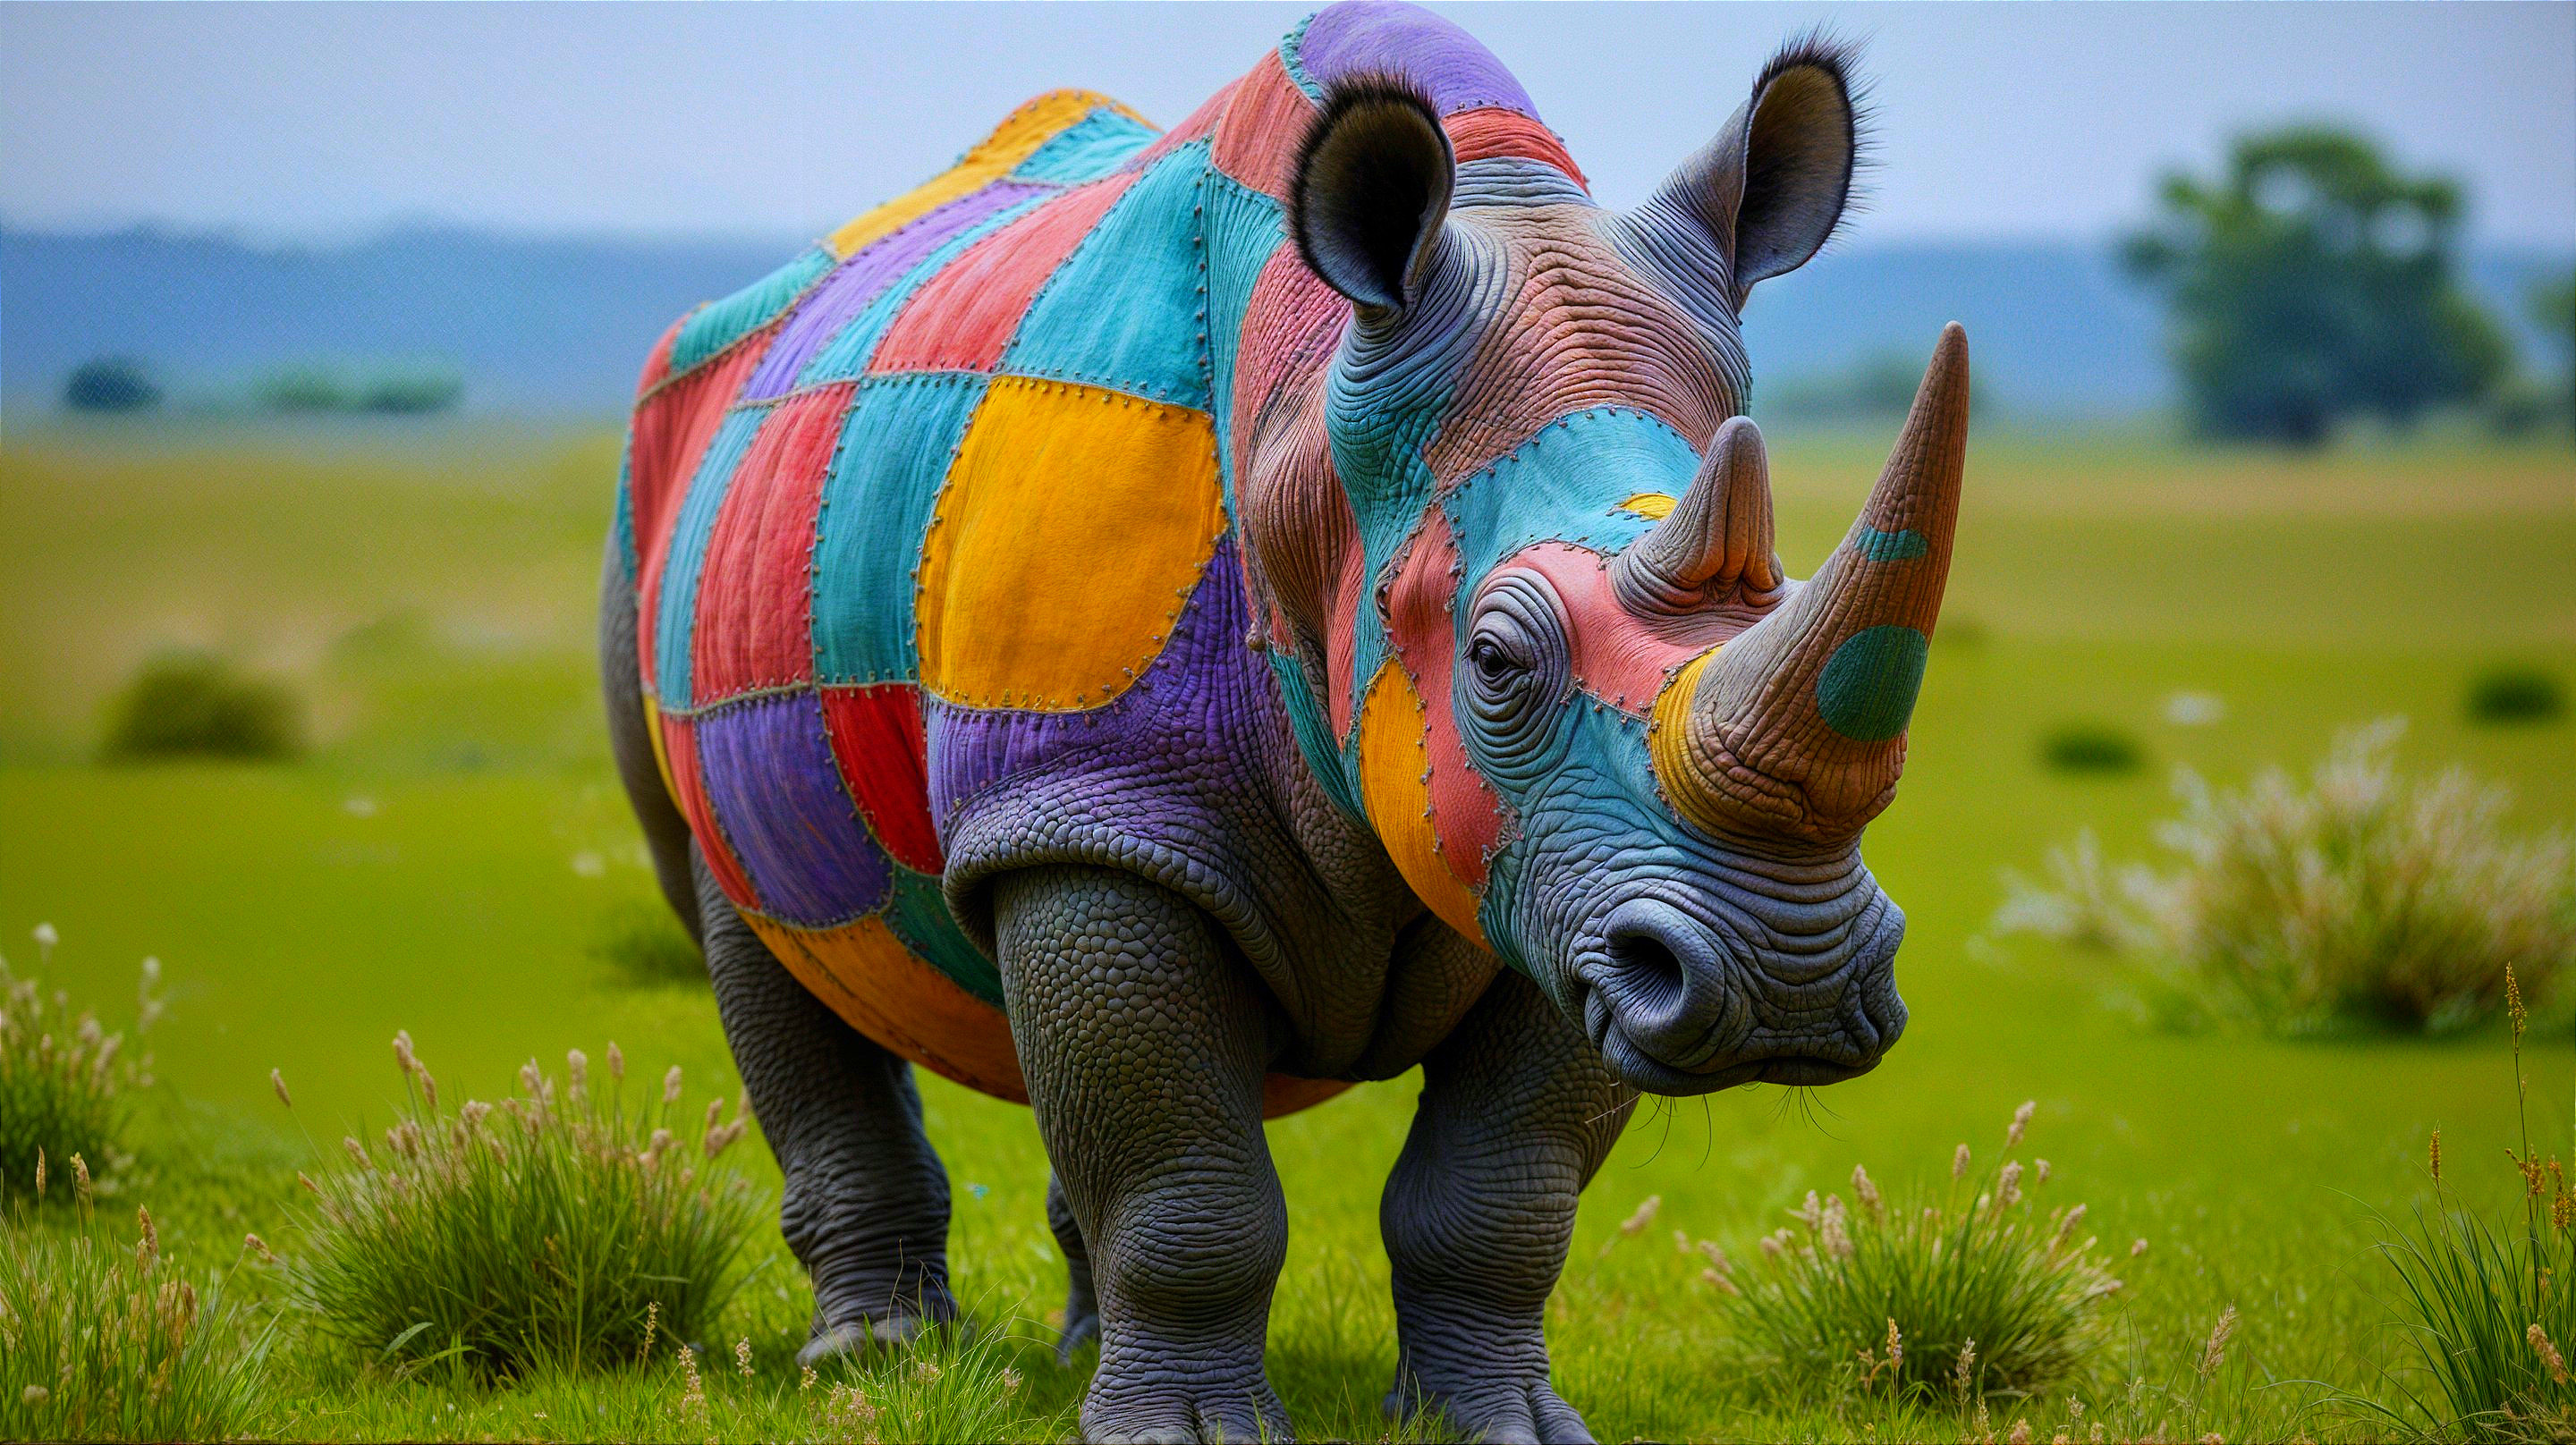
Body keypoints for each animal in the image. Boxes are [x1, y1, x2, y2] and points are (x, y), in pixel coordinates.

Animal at [602, 3, 1967, 1439]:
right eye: (1493, 660)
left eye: (1796, 598)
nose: (1789, 982)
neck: (1314, 423)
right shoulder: (1092, 801)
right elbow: (1183, 1182)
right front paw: (1190, 1436)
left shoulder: (1571, 873)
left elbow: (1500, 1188)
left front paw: (1492, 1425)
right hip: (662, 493)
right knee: (748, 910)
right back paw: (877, 1363)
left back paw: (1066, 1354)